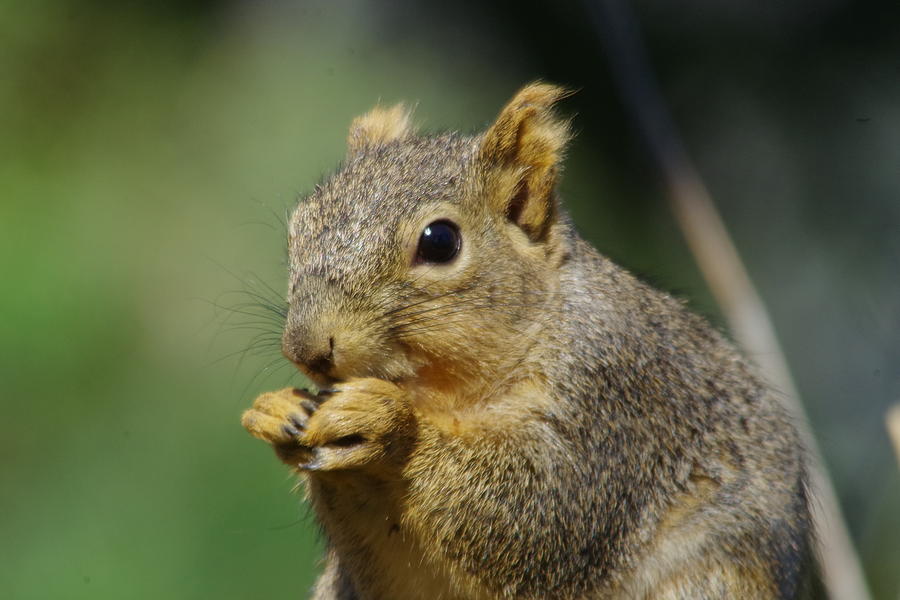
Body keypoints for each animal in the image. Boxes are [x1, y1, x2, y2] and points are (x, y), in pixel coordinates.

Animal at [241, 82, 816, 596]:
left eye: (440, 241)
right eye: (297, 229)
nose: (307, 349)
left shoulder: (613, 406)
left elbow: (542, 517)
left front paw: (387, 424)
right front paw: (277, 410)